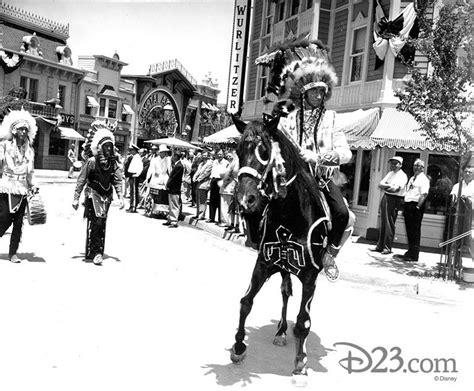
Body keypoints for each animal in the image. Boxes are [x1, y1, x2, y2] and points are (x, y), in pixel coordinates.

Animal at [230, 115, 330, 382]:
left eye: (264, 151)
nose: (245, 199)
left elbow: (304, 320)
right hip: (284, 268)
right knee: (285, 292)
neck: (290, 214)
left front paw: (301, 362)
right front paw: (238, 347)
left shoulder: (310, 275)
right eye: (238, 151)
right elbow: (246, 302)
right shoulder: (264, 264)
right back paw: (282, 332)